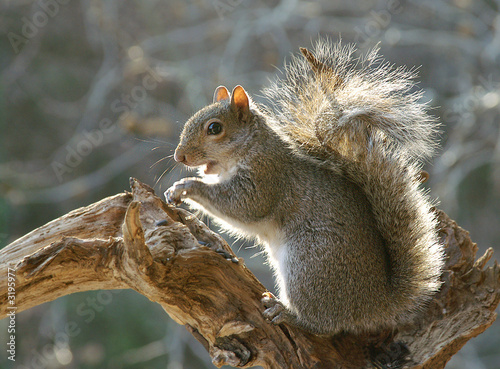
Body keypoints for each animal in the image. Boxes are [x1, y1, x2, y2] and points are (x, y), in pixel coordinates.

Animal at [166, 38, 444, 334]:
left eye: (214, 128)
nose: (179, 157)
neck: (252, 147)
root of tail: (375, 302)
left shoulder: (267, 177)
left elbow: (244, 207)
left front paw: (187, 186)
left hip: (309, 263)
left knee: (323, 324)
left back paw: (288, 313)